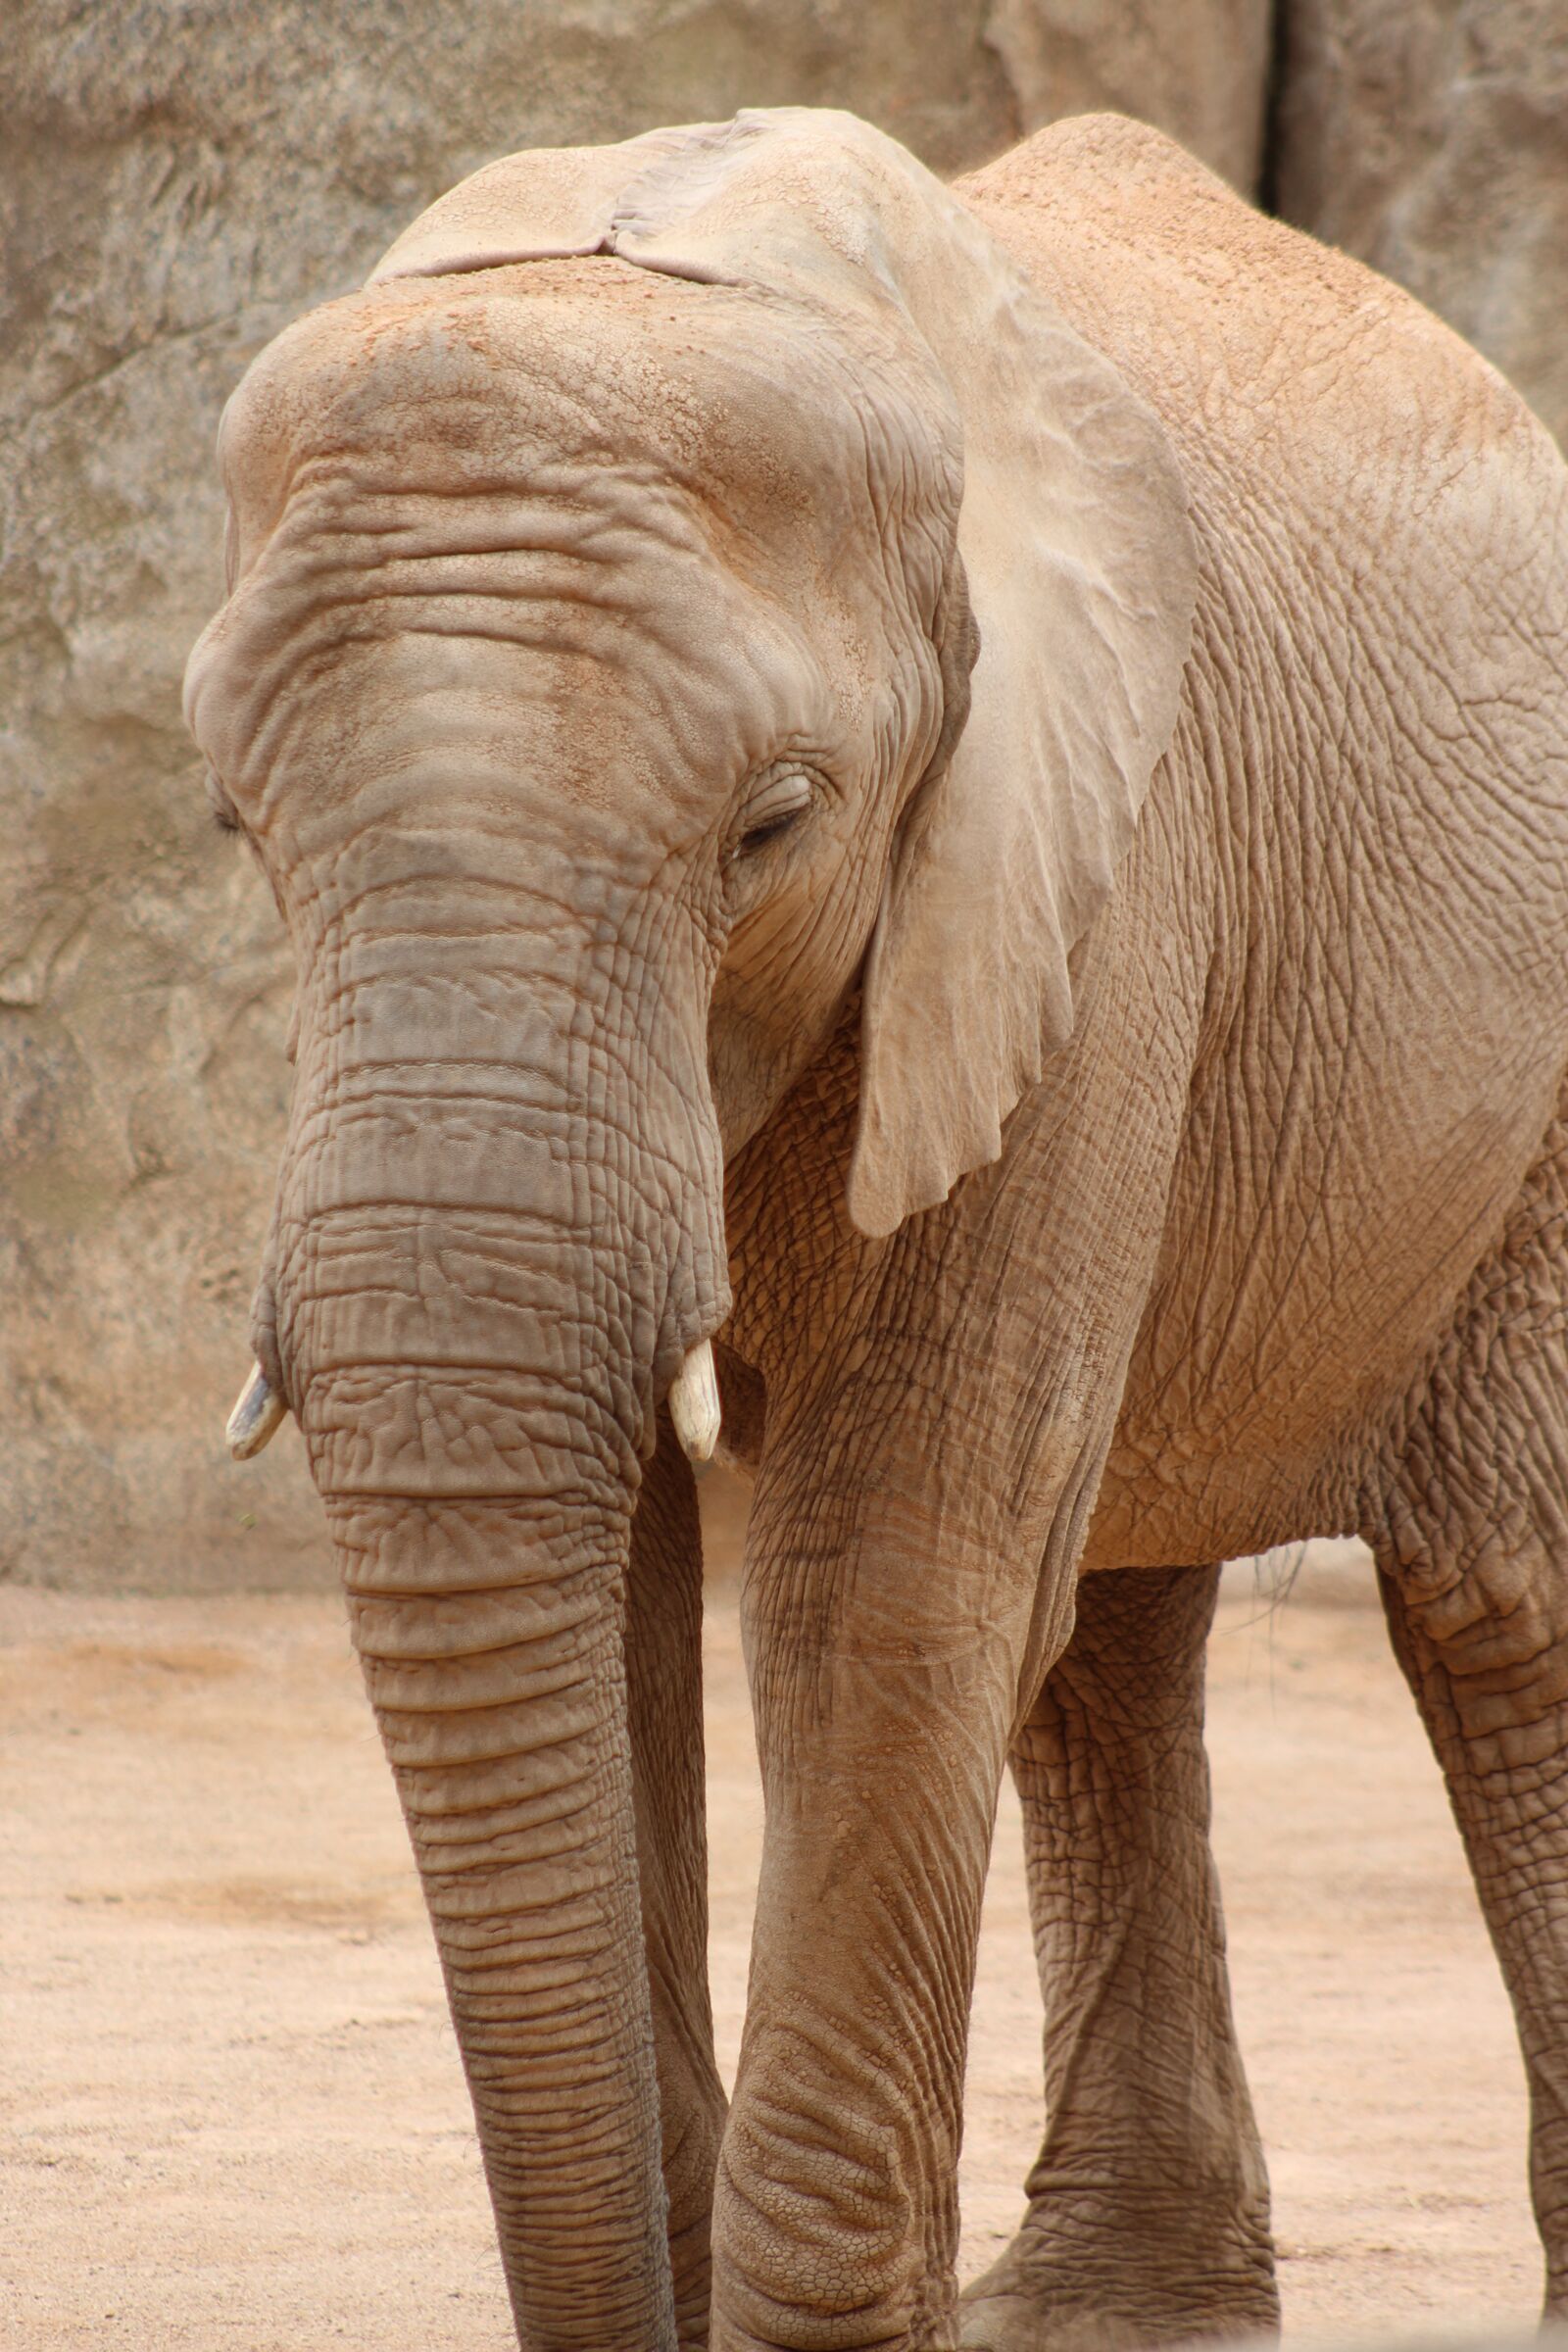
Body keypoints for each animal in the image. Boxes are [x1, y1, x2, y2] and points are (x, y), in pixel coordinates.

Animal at [183, 102, 1568, 2352]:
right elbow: (624, 1586)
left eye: (774, 823)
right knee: (1109, 1621)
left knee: (1492, 1597)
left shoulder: (1088, 867)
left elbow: (876, 1575)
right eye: (236, 817)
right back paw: (1111, 2312)